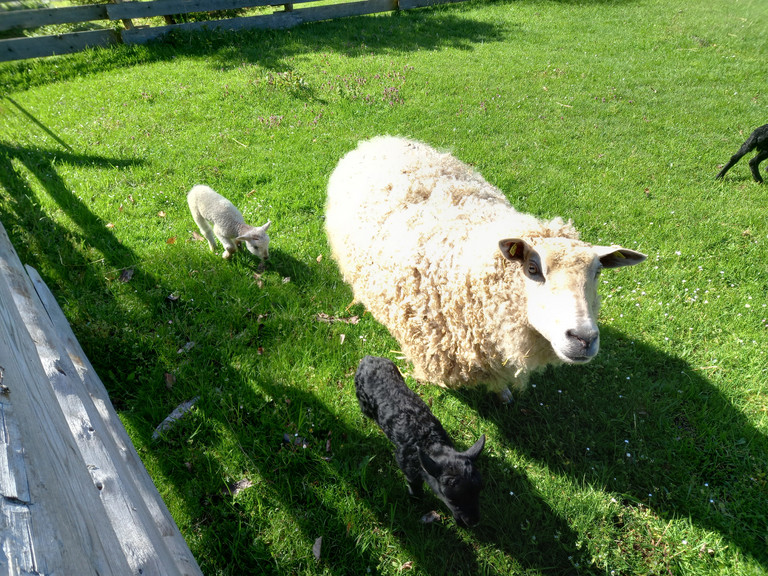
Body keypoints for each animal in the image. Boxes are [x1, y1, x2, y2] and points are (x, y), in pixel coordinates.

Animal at [354, 356, 486, 528]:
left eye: (479, 490)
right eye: (451, 499)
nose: (473, 522)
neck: (429, 441)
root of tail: (368, 358)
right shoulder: (407, 466)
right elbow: (414, 486)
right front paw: (417, 501)